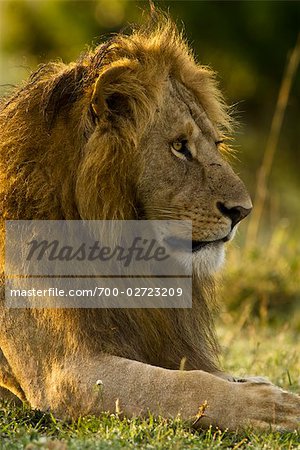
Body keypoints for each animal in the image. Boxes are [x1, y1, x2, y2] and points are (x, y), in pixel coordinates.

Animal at [0, 14, 300, 430]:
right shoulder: (66, 373)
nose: (242, 211)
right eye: (179, 146)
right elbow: (185, 385)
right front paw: (272, 406)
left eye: (216, 145)